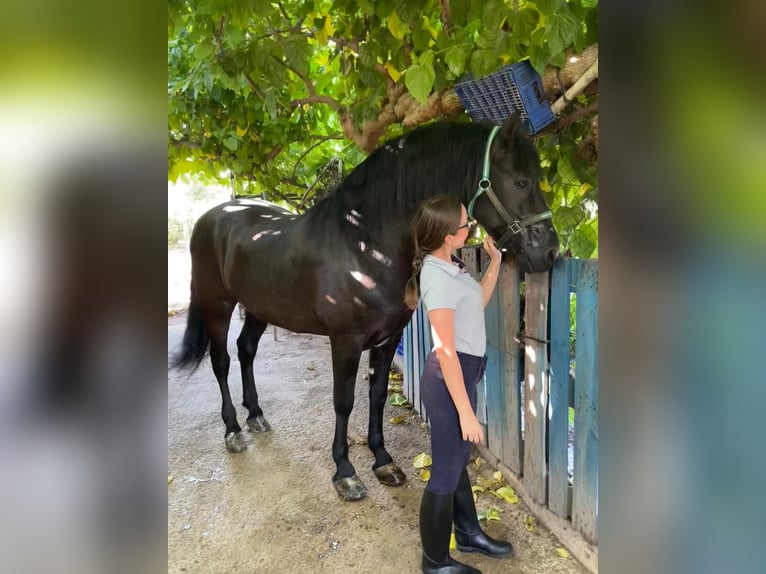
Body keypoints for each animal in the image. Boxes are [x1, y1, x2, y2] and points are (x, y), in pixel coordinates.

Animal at [172, 115, 560, 502]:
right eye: (521, 181)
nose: (550, 252)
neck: (364, 243)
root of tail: (215, 215)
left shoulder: (388, 337)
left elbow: (377, 395)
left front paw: (383, 461)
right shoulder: (345, 339)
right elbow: (343, 402)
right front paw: (345, 472)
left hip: (260, 308)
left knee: (246, 350)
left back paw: (255, 415)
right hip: (218, 306)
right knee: (221, 362)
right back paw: (233, 429)